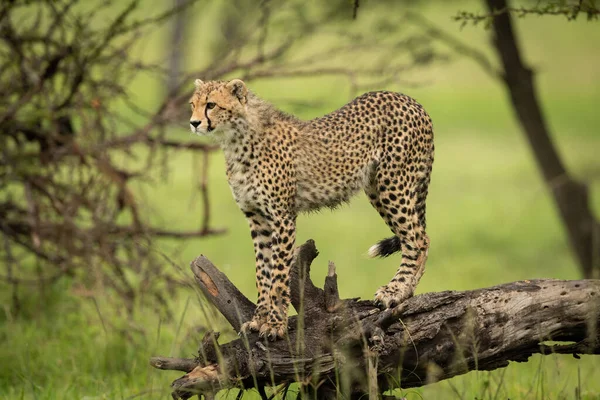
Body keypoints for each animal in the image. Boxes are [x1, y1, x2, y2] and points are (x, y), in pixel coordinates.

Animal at [190, 79, 434, 340]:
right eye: (193, 104)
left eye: (211, 105)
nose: (194, 123)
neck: (236, 140)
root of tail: (410, 100)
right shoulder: (258, 220)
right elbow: (262, 272)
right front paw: (258, 321)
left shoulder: (282, 217)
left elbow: (278, 275)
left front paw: (275, 325)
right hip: (377, 188)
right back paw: (405, 292)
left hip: (393, 183)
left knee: (418, 239)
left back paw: (396, 291)